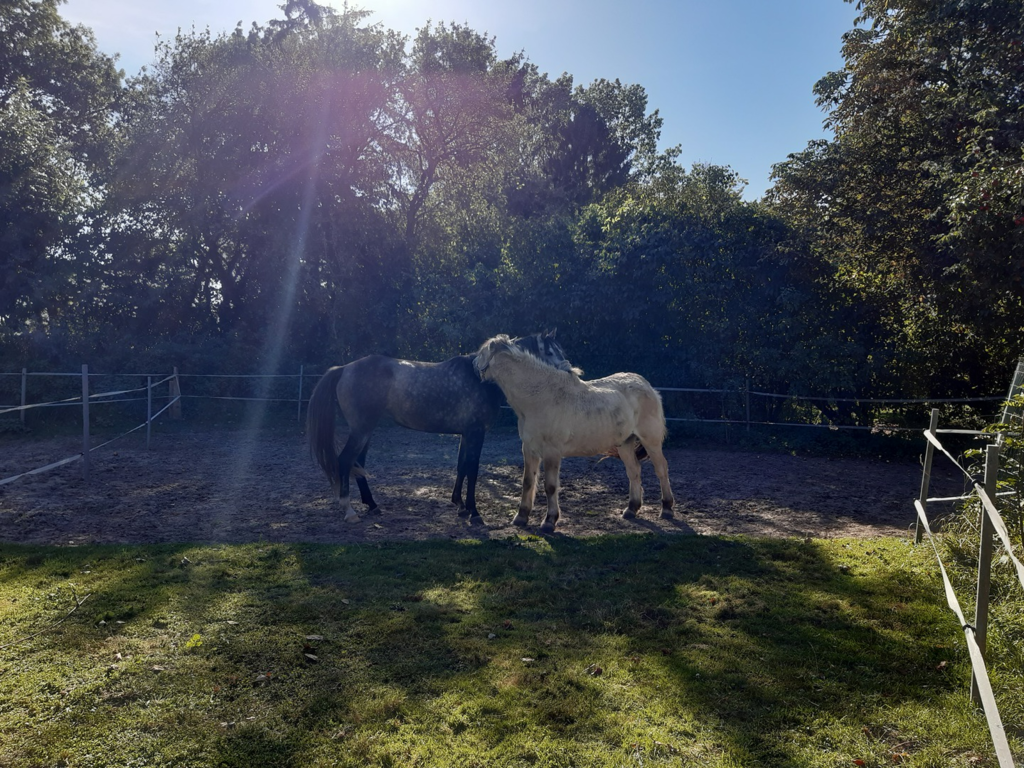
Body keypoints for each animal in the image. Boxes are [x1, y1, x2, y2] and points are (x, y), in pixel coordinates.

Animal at [307, 332, 571, 523]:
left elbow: (461, 466)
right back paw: (349, 511)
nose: (570, 372)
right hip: (361, 430)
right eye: (549, 351)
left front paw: (460, 505)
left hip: (366, 431)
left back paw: (372, 505)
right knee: (344, 461)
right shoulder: (476, 433)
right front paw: (474, 512)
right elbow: (473, 469)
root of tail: (343, 369)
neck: (482, 379)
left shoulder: (466, 434)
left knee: (357, 463)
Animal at [474, 334, 675, 533]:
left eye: (482, 353)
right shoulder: (529, 449)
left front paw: (549, 521)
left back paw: (666, 508)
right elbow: (528, 482)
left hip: (651, 441)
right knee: (634, 471)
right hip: (625, 443)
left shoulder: (552, 452)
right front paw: (521, 517)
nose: (473, 366)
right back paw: (631, 509)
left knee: (661, 469)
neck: (539, 396)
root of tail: (646, 385)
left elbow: (550, 486)